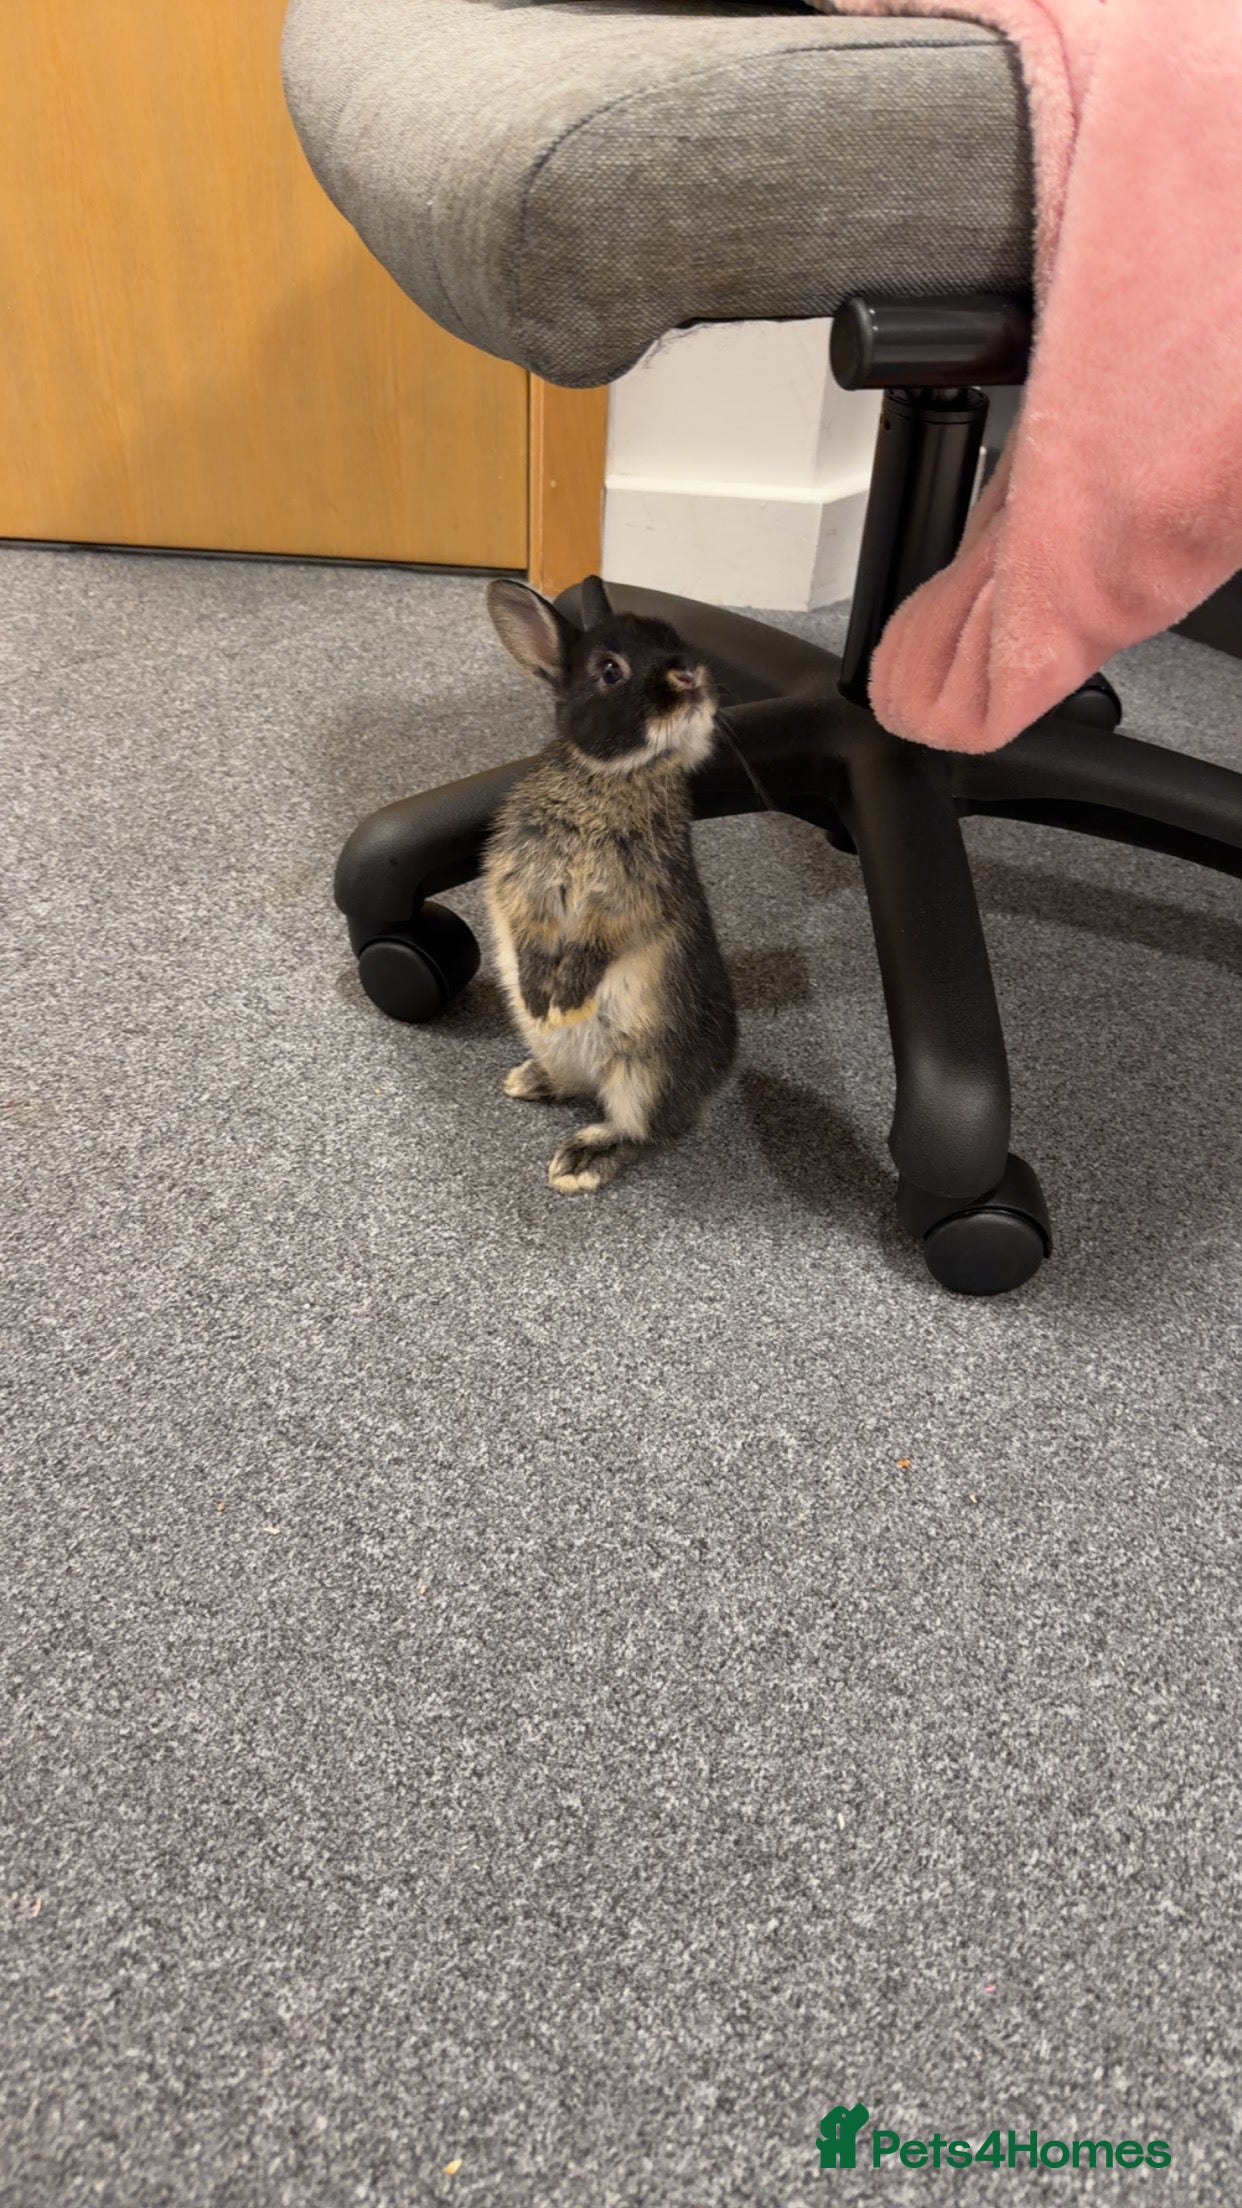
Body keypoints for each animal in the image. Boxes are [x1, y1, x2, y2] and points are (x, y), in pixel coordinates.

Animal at [483, 575, 738, 1193]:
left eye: (678, 641)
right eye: (610, 670)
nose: (689, 675)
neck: (613, 778)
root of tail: (717, 1082)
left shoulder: (632, 899)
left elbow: (598, 943)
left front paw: (569, 995)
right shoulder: (521, 882)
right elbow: (529, 935)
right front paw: (541, 996)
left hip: (643, 1073)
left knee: (646, 1131)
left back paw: (580, 1161)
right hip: (568, 1050)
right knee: (581, 1085)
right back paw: (529, 1080)